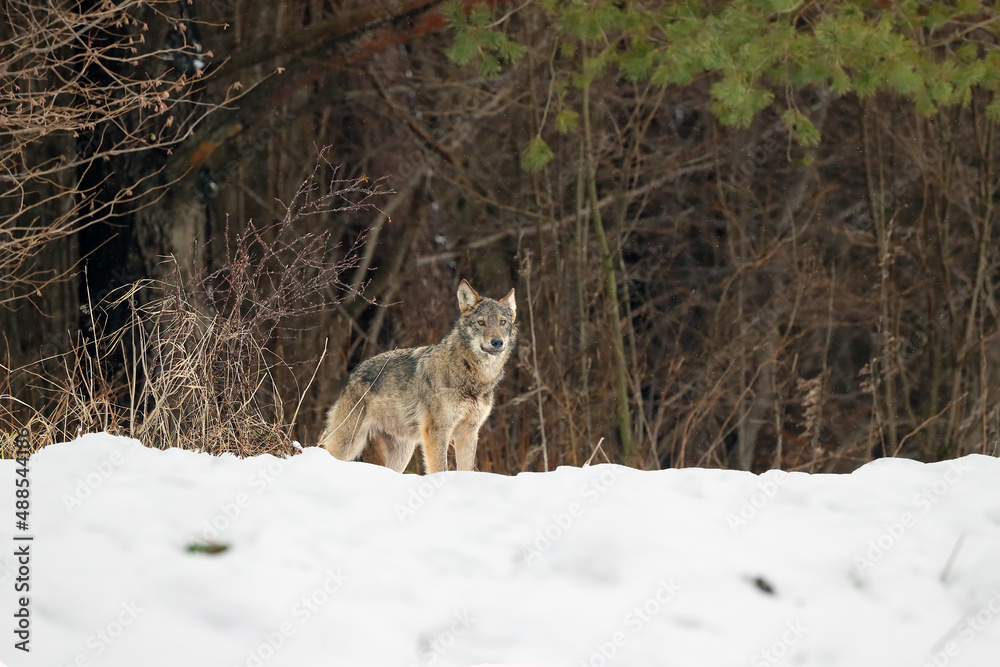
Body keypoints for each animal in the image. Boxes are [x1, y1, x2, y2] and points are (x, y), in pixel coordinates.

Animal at [319, 280, 516, 473]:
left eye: (502, 322)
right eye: (481, 323)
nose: (497, 342)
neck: (471, 373)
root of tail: (353, 375)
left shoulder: (469, 432)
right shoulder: (437, 431)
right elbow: (440, 469)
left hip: (401, 454)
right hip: (349, 443)